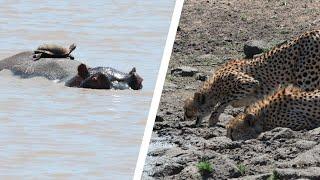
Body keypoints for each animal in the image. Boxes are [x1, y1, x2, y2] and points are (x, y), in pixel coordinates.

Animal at [184, 29, 318, 126]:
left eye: (187, 109)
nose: (184, 117)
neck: (214, 86)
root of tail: (314, 31)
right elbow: (247, 109)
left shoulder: (248, 83)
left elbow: (224, 101)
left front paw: (213, 118)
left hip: (306, 78)